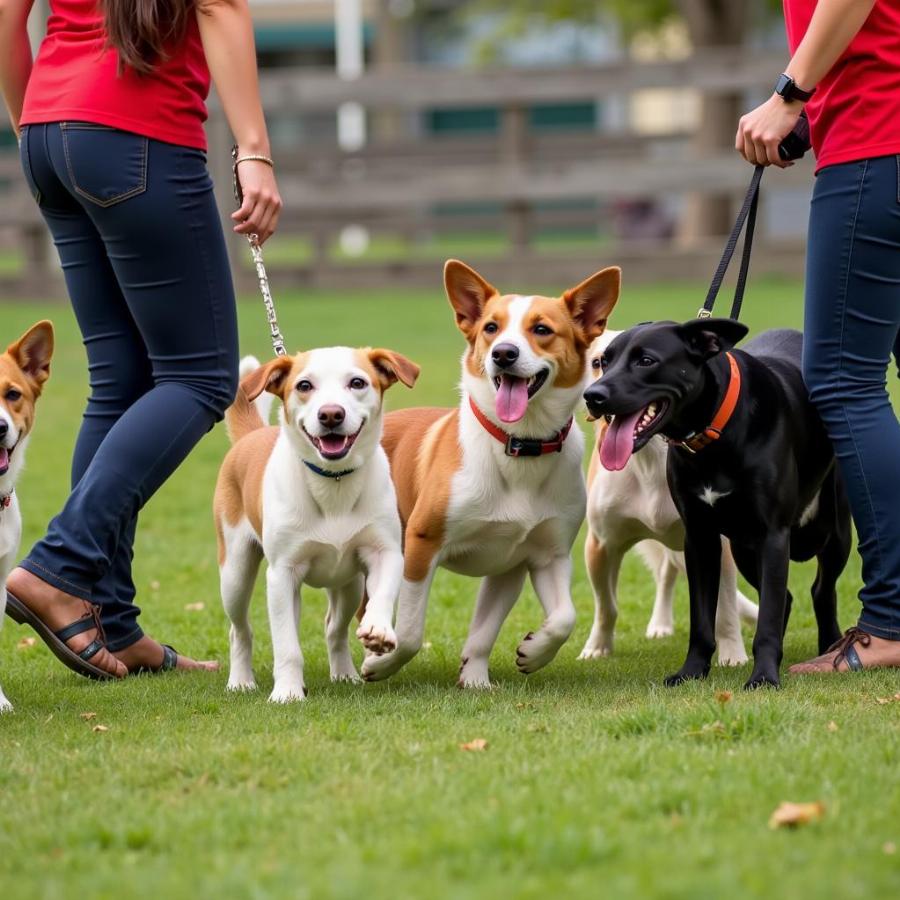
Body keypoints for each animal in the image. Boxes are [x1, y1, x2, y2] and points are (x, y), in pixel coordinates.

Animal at [214, 344, 418, 704]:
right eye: (304, 385)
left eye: (357, 382)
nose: (331, 414)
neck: (333, 483)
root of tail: (253, 435)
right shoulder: (282, 574)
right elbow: (286, 646)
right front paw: (287, 691)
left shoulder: (386, 551)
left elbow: (383, 591)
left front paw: (378, 629)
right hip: (235, 573)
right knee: (240, 629)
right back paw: (241, 680)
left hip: (349, 584)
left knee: (334, 627)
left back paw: (344, 674)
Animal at [358, 260, 620, 688]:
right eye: (491, 328)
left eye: (542, 329)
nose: (504, 354)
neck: (519, 445)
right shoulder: (422, 543)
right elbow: (411, 631)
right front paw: (383, 662)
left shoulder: (533, 557)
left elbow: (558, 619)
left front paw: (510, 662)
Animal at [584, 318, 852, 688]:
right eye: (603, 362)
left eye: (646, 361)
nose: (593, 397)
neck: (712, 435)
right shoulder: (700, 538)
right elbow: (702, 619)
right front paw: (692, 671)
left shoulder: (773, 535)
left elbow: (766, 616)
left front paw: (764, 677)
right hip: (743, 547)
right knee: (785, 597)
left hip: (833, 533)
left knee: (821, 590)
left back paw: (829, 645)